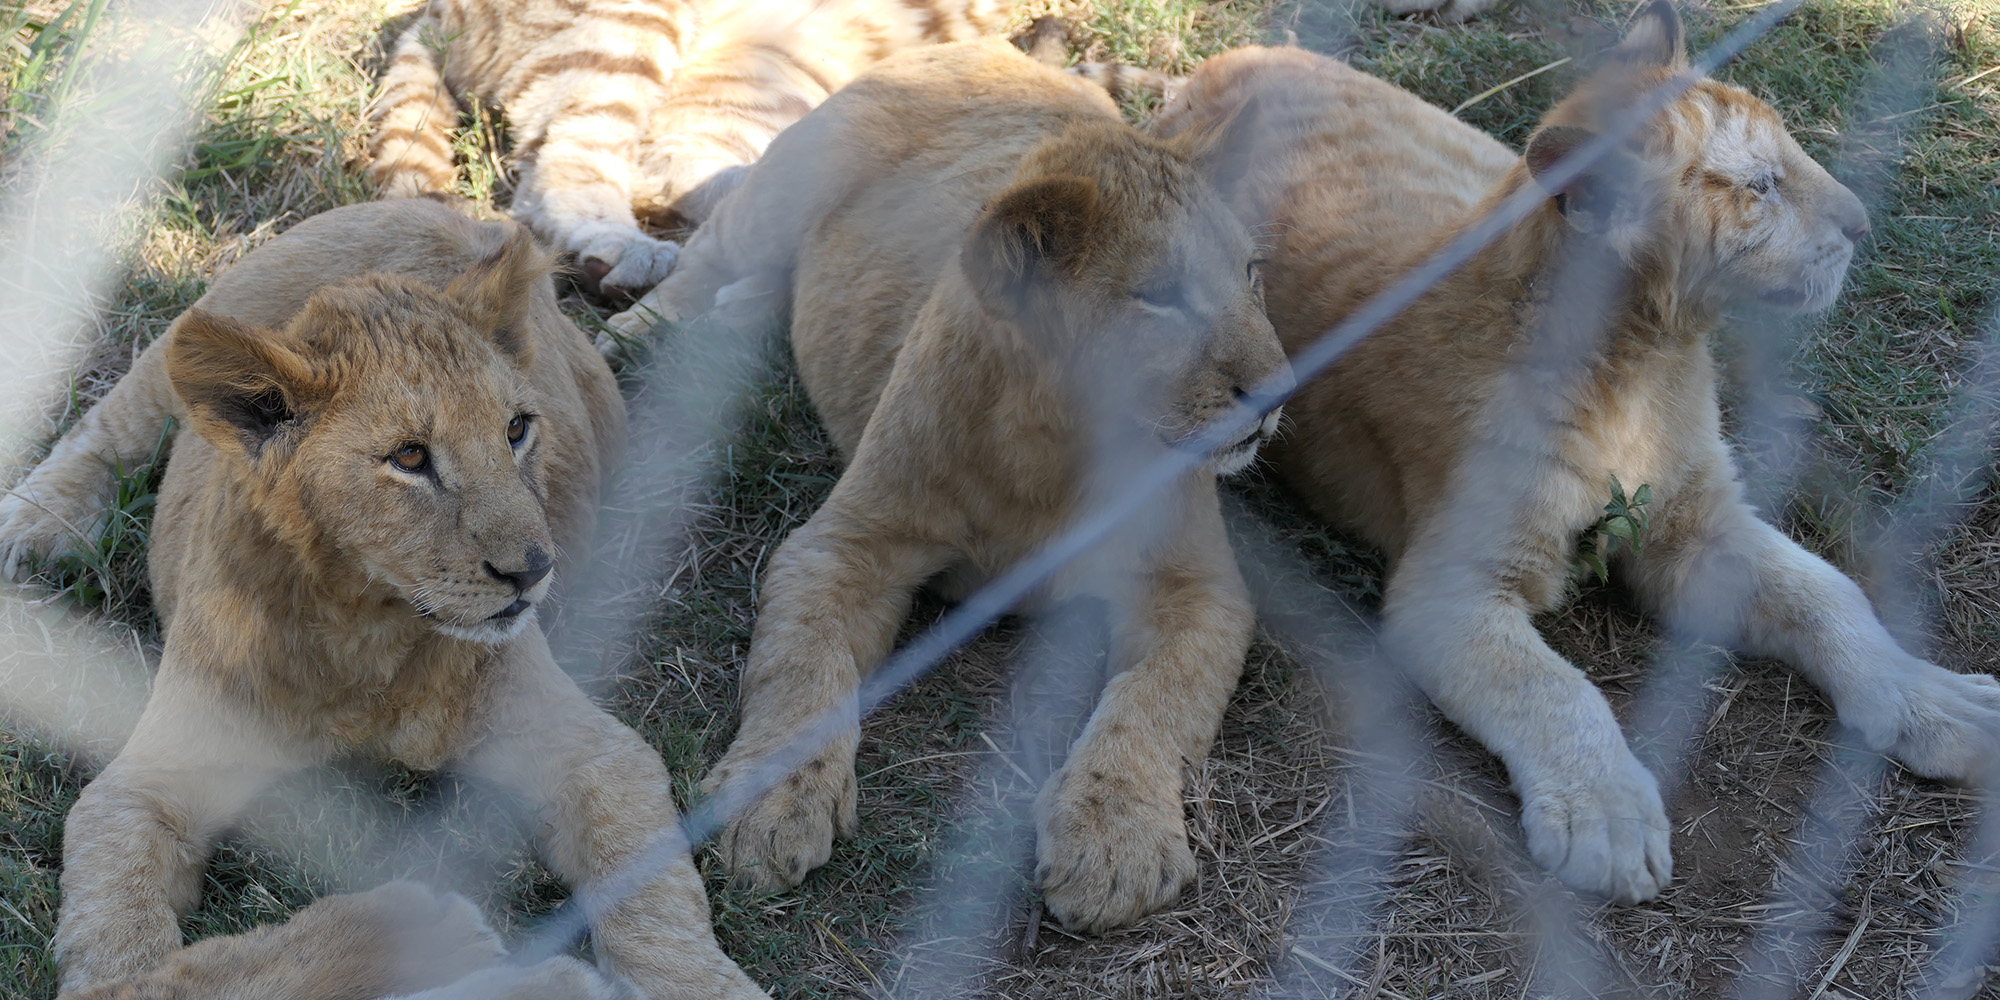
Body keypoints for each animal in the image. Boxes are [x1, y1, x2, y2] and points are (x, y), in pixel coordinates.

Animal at [0, 199, 767, 999]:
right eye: (409, 457)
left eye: (517, 429)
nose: (533, 570)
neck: (366, 630)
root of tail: (447, 216)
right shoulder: (143, 788)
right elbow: (126, 952)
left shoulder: (594, 753)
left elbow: (649, 895)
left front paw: (700, 985)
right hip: (191, 333)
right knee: (108, 425)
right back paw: (30, 527)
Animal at [605, 38, 1291, 933]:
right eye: (1161, 300)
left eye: (1251, 274)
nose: (1278, 394)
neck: (1057, 451)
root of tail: (990, 46)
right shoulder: (841, 545)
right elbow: (803, 665)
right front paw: (768, 809)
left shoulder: (1202, 589)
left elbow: (1157, 700)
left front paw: (1116, 843)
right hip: (787, 181)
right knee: (709, 251)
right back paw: (642, 329)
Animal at [1152, 2, 2000, 903]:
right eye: (1758, 186)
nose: (1862, 224)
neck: (1647, 358)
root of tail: (1232, 58)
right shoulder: (1450, 587)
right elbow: (1556, 688)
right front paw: (1609, 817)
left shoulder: (1704, 522)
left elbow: (1829, 596)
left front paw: (1940, 703)